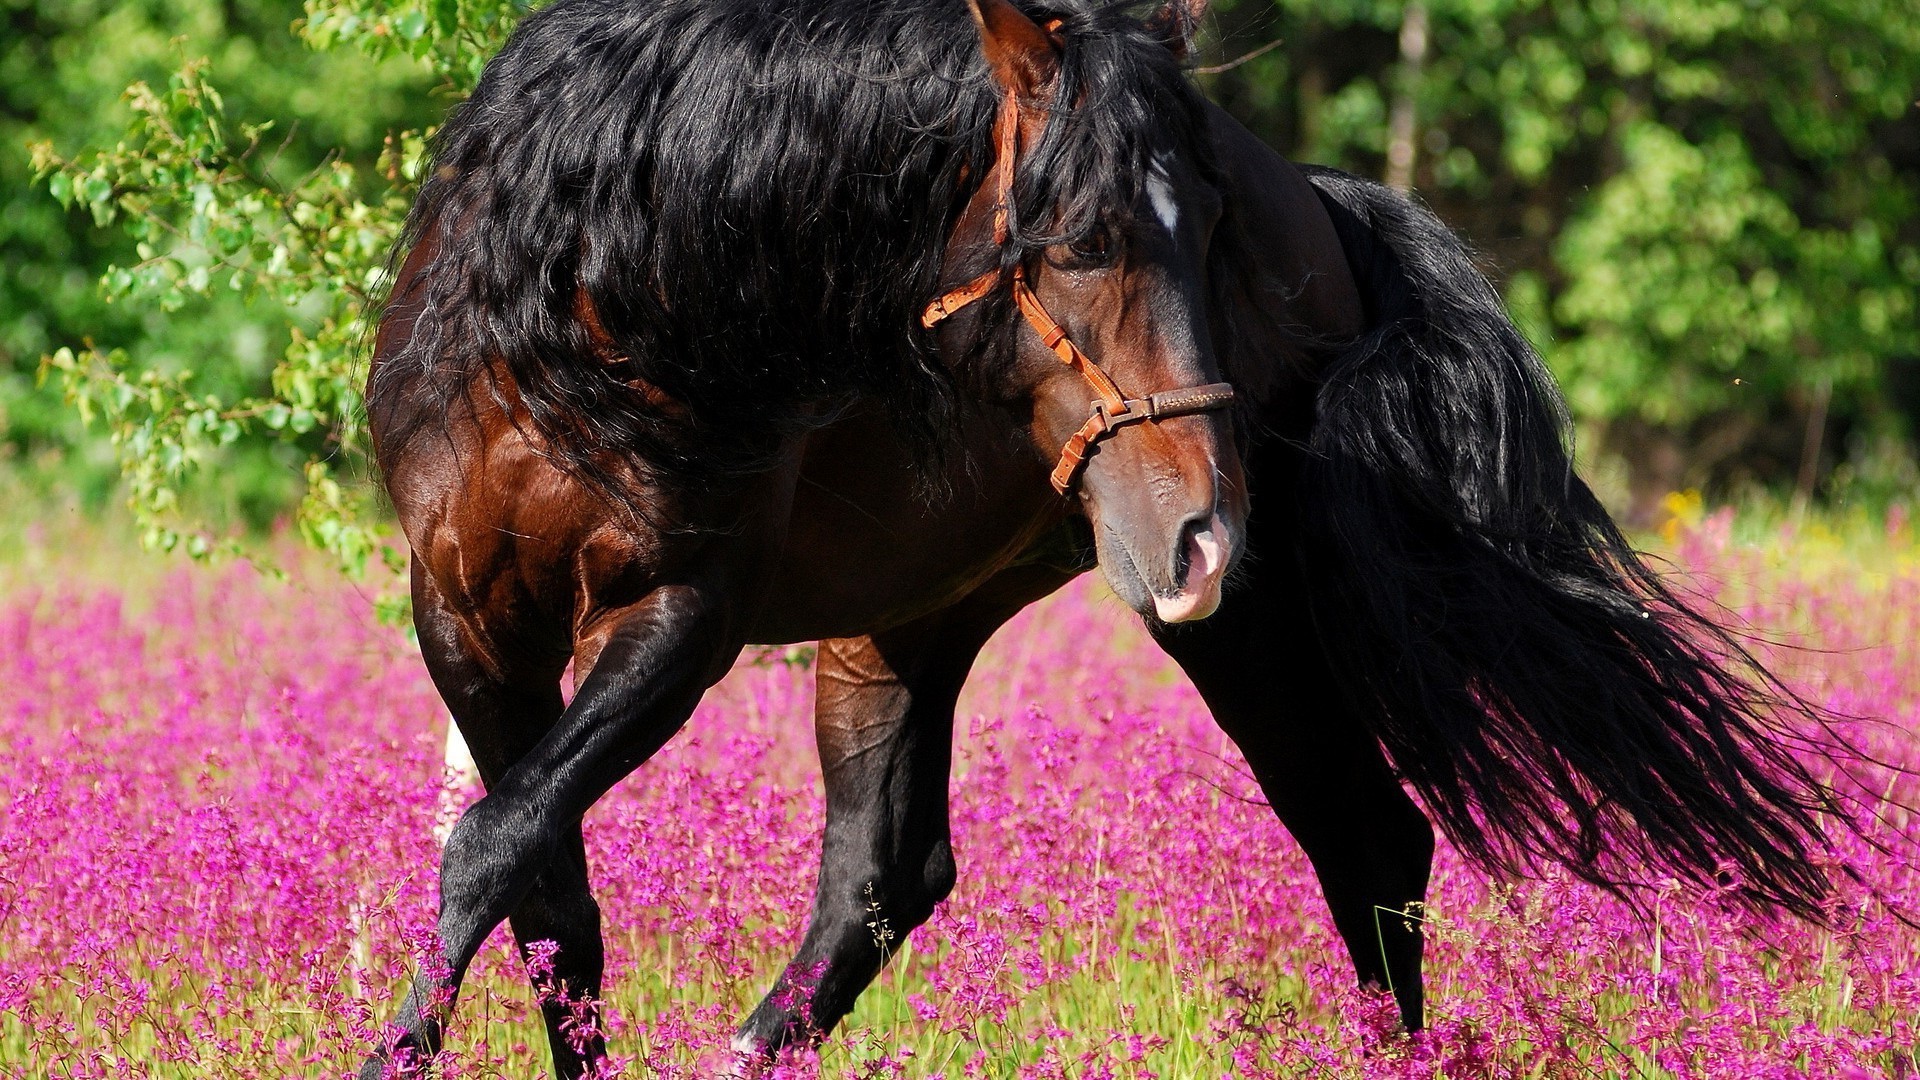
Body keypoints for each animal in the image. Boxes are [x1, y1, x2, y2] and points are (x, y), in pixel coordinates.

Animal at [361, 0, 1842, 1074]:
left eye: (1213, 240)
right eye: (1076, 241)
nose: (1206, 532)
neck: (605, 310)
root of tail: (1330, 203)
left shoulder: (677, 621)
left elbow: (493, 845)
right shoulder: (470, 621)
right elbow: (544, 892)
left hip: (1236, 627)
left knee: (1367, 840)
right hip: (913, 620)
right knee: (879, 878)